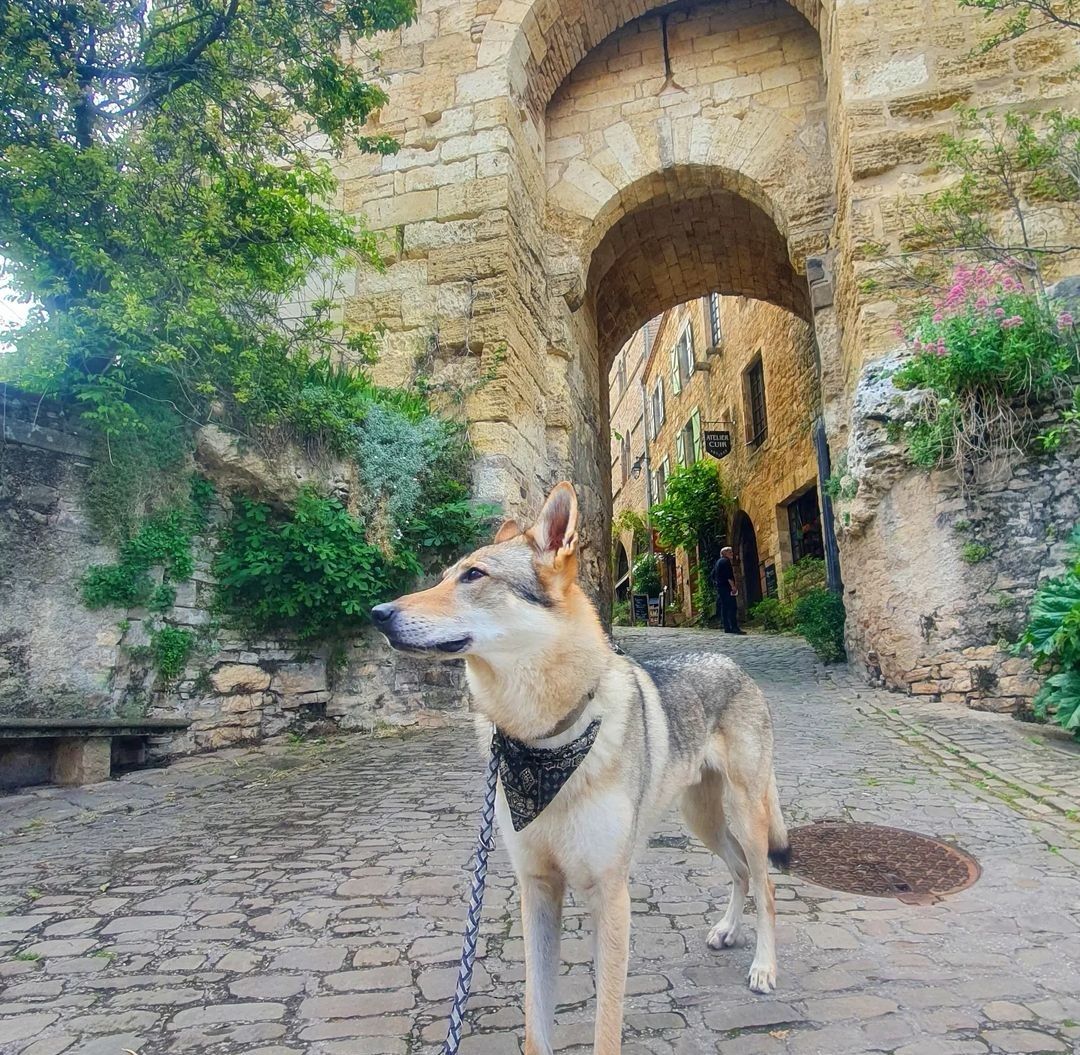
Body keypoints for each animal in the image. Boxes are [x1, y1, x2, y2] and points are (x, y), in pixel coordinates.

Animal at [375, 481, 790, 1049]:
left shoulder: (609, 897)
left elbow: (606, 1028)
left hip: (746, 813)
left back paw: (764, 968)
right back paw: (727, 930)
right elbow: (536, 1022)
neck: (543, 739)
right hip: (700, 819)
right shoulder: (537, 890)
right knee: (740, 870)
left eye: (474, 576)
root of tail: (731, 662)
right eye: (443, 576)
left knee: (766, 884)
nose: (377, 613)